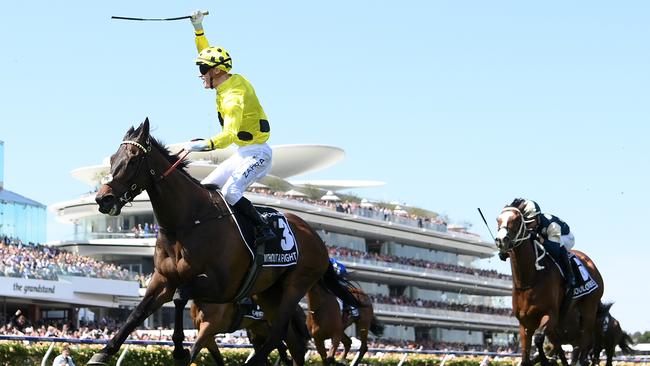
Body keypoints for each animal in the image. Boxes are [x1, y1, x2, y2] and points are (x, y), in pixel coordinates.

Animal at [88, 118, 356, 364]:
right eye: (112, 159)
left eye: (133, 160)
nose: (104, 199)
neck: (189, 220)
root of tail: (315, 236)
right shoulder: (163, 279)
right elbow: (137, 312)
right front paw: (103, 353)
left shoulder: (222, 286)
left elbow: (180, 297)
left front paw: (179, 349)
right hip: (270, 292)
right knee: (292, 342)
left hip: (296, 284)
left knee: (278, 332)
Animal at [496, 200, 604, 366]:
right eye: (498, 220)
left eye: (517, 220)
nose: (501, 240)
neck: (530, 279)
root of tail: (590, 263)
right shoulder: (524, 322)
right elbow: (526, 355)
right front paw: (539, 359)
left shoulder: (550, 315)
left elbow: (539, 338)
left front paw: (545, 361)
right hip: (567, 319)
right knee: (563, 343)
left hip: (589, 308)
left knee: (585, 338)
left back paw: (581, 360)